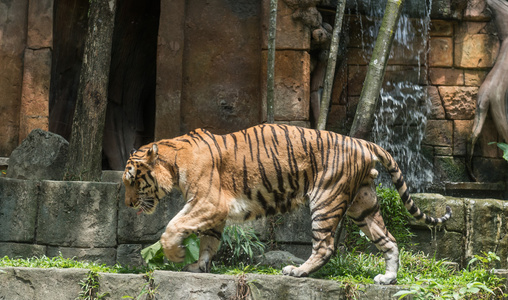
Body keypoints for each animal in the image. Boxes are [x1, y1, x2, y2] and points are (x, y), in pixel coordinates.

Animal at [123, 123, 452, 284]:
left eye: (132, 181)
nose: (127, 204)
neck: (173, 161)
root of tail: (362, 141)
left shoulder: (209, 203)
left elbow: (173, 226)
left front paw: (175, 255)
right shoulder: (213, 211)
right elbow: (208, 241)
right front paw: (198, 266)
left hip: (326, 199)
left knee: (325, 246)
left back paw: (297, 272)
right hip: (364, 204)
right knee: (389, 240)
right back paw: (388, 278)